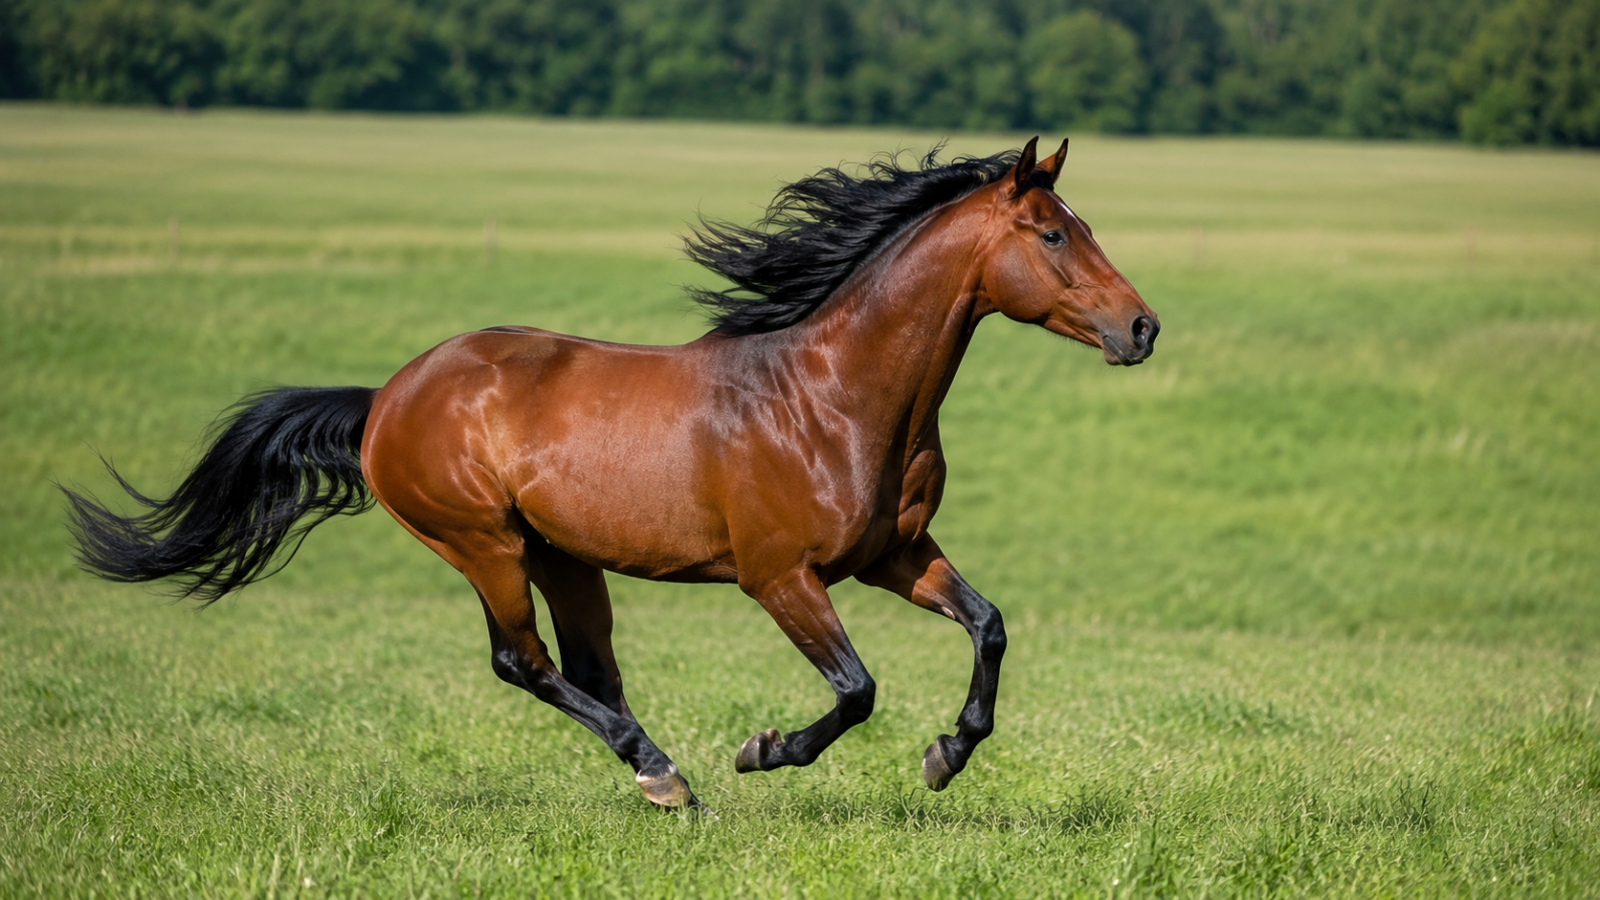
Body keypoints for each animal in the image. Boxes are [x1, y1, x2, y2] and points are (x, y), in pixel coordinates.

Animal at [64, 137, 1158, 812]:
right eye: (1053, 234)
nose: (1142, 328)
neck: (834, 396)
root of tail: (386, 398)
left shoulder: (894, 554)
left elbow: (989, 625)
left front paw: (944, 758)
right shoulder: (779, 576)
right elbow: (856, 690)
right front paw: (764, 750)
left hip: (563, 554)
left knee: (587, 668)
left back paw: (657, 778)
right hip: (484, 544)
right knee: (523, 662)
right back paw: (668, 775)